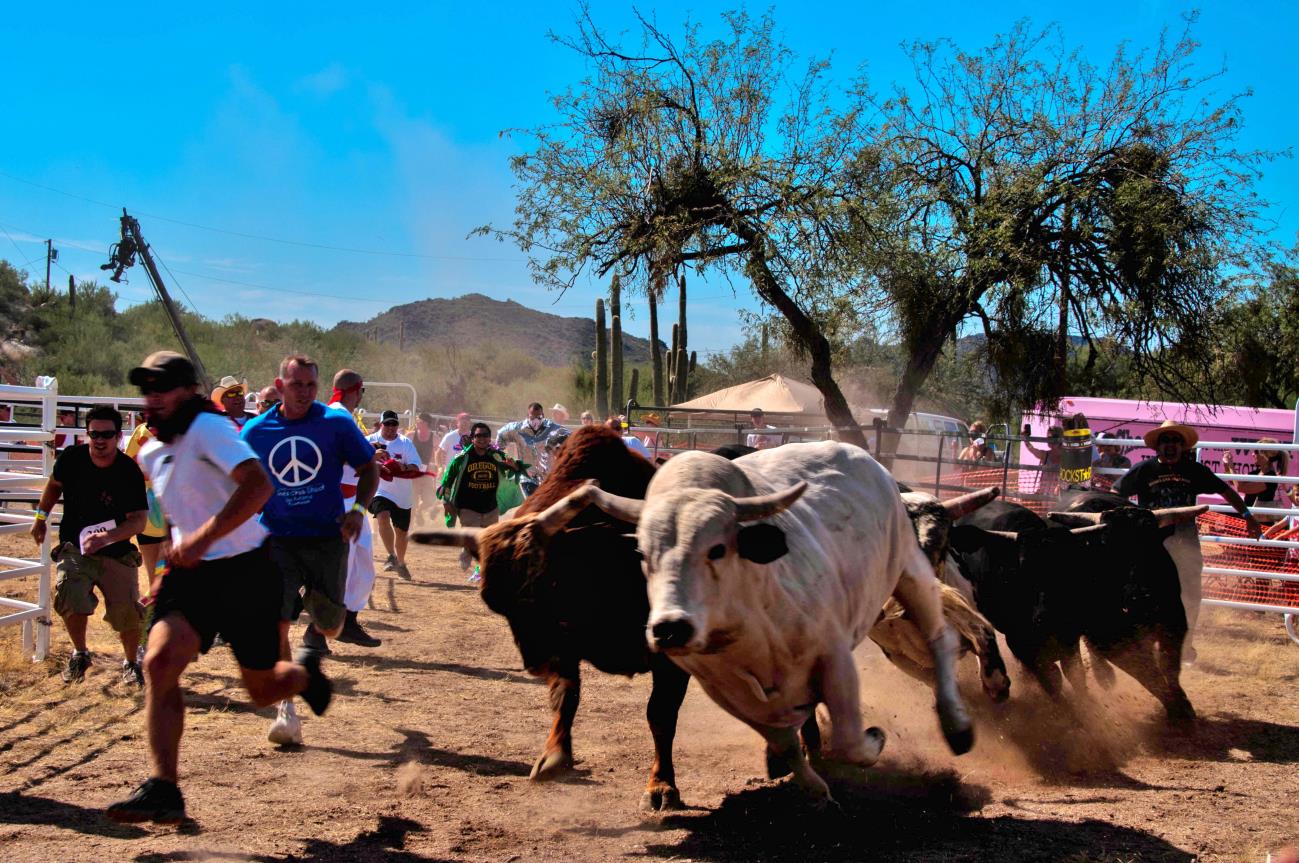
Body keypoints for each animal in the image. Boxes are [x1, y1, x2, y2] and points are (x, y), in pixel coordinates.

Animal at [584, 441, 971, 800]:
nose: (670, 628)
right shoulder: (725, 690)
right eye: (642, 553)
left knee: (941, 639)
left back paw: (958, 727)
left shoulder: (834, 657)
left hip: (909, 567)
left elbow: (848, 739)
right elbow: (784, 740)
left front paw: (873, 740)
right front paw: (814, 787)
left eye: (717, 549)